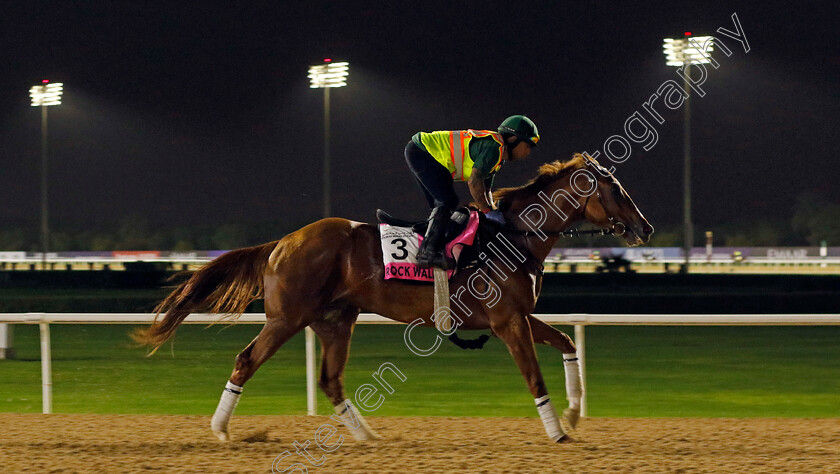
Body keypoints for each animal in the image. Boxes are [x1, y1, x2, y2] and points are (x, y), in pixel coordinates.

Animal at [135, 154, 652, 442]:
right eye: (616, 188)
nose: (644, 228)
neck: (513, 237)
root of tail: (282, 241)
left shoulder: (518, 316)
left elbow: (567, 342)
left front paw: (573, 413)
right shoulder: (507, 322)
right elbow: (534, 378)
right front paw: (558, 432)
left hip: (336, 320)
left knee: (331, 380)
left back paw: (368, 437)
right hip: (287, 318)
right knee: (247, 361)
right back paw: (221, 430)